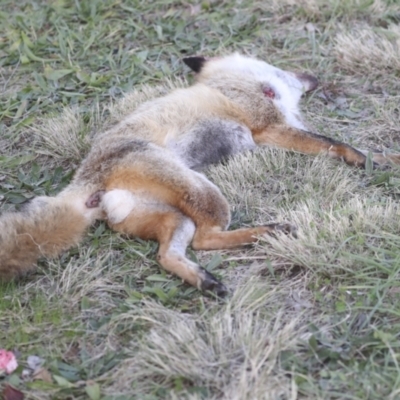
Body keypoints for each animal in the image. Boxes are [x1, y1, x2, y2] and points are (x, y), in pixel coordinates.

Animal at [0, 53, 400, 296]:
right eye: (280, 68)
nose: (314, 76)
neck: (237, 81)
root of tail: (85, 180)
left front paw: (386, 157)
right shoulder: (268, 128)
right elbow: (334, 142)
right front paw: (365, 159)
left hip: (170, 217)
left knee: (167, 254)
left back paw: (204, 279)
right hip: (205, 193)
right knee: (206, 239)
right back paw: (266, 233)